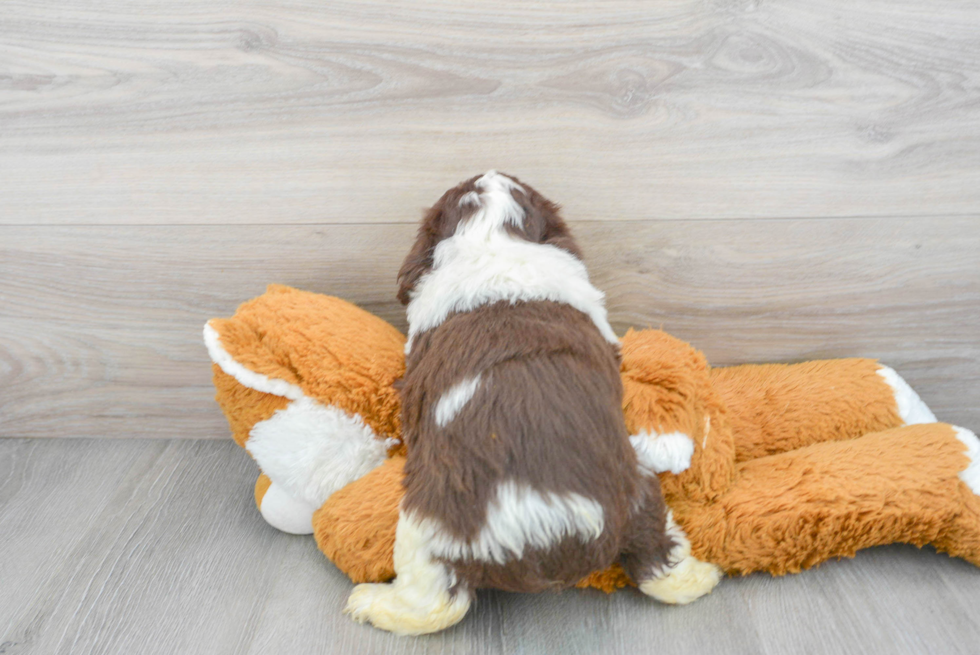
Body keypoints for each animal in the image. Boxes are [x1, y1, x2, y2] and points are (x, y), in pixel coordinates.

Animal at [344, 170, 720, 636]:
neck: (494, 238)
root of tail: (551, 527)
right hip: (640, 493)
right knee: (659, 558)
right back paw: (701, 576)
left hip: (425, 526)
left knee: (435, 604)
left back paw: (370, 603)